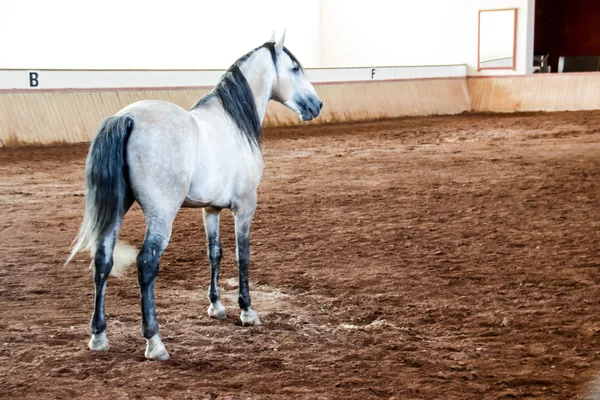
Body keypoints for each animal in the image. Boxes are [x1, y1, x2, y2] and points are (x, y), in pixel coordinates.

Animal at [67, 32, 324, 360]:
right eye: (295, 68)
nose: (317, 104)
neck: (232, 124)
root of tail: (127, 118)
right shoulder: (245, 207)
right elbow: (242, 255)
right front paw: (247, 311)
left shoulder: (210, 209)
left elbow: (214, 253)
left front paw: (216, 306)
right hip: (161, 214)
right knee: (146, 263)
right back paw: (155, 342)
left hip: (117, 210)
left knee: (102, 260)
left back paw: (99, 336)